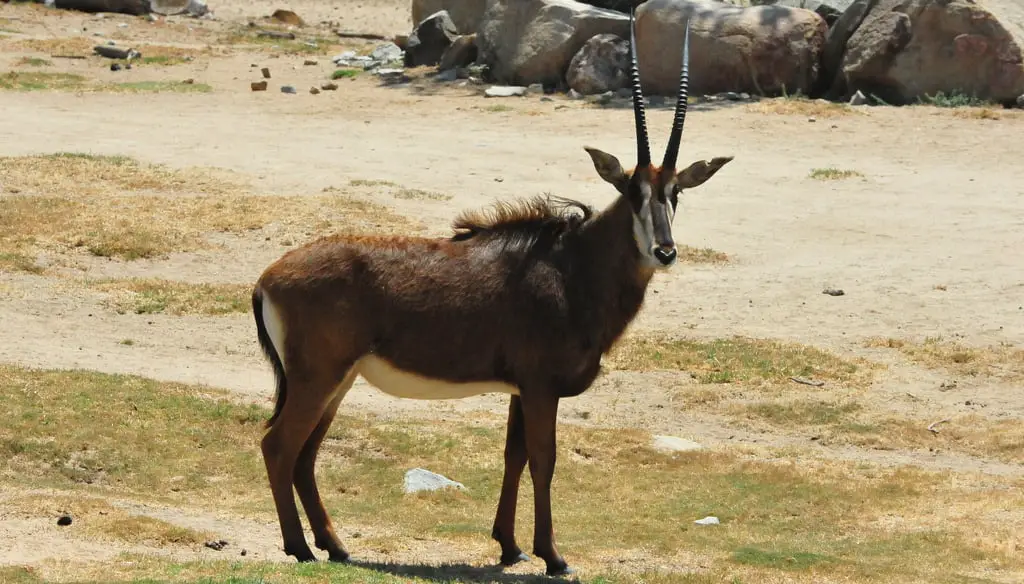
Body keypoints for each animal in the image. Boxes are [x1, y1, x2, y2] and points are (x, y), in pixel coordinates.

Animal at [251, 11, 733, 573]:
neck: (571, 265)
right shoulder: (541, 387)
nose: (664, 251)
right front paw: (553, 555)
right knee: (279, 446)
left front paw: (509, 544)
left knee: (305, 453)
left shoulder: (521, 390)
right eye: (631, 191)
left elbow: (514, 456)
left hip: (338, 380)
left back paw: (335, 545)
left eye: (675, 192)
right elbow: (544, 460)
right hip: (318, 378)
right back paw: (300, 547)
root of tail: (267, 279)